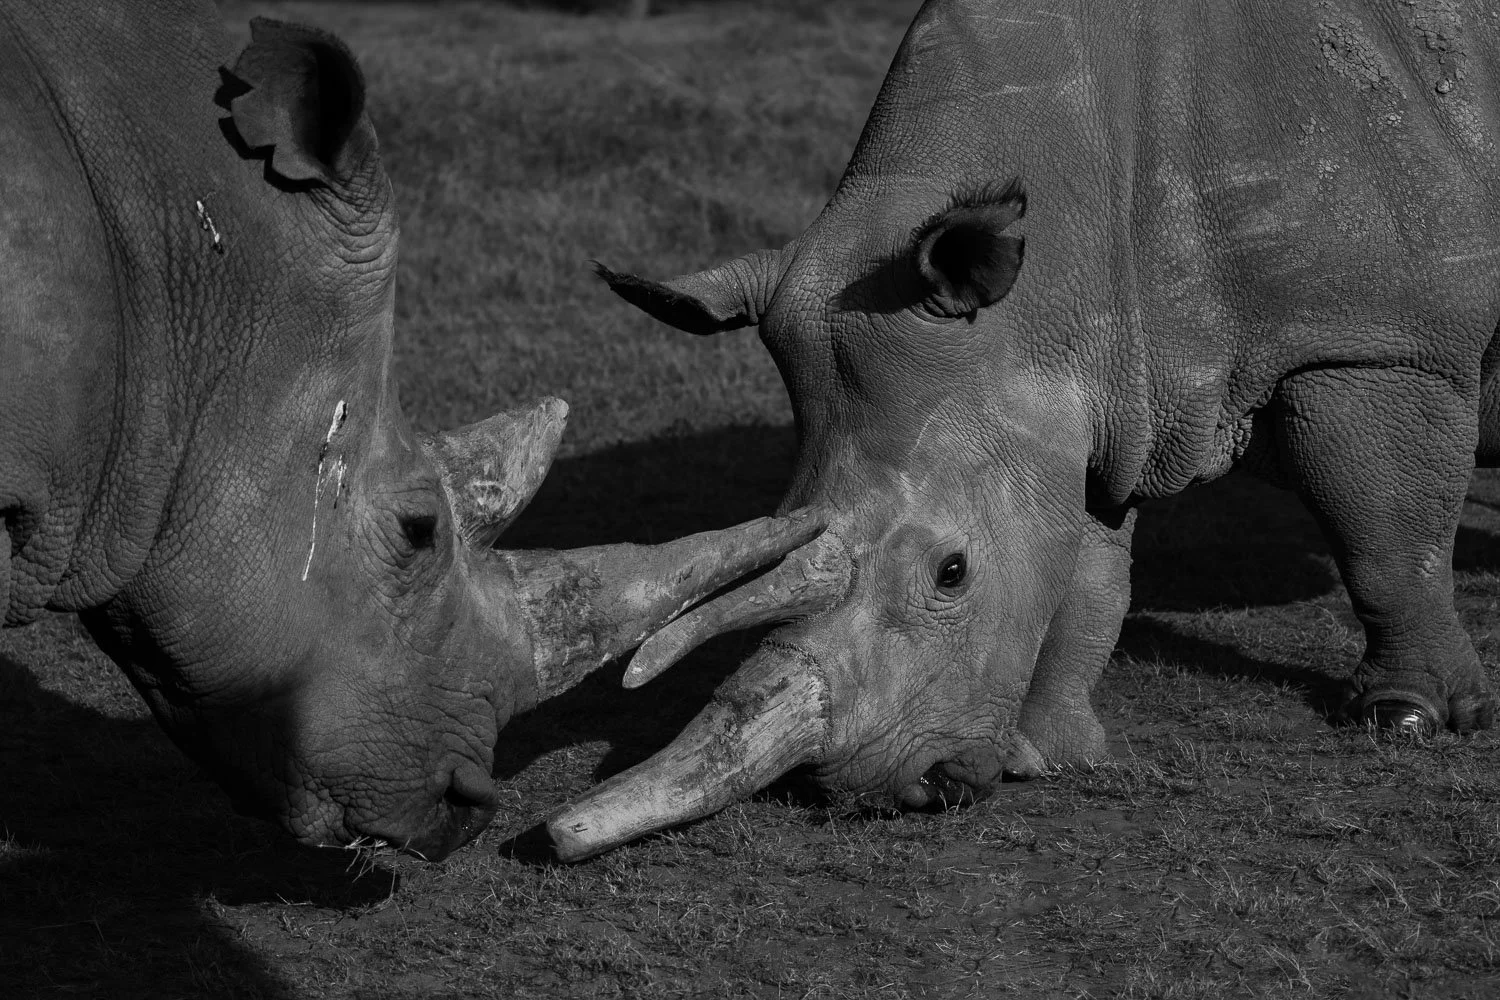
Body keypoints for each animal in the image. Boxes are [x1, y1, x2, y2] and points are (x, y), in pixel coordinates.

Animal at [546, 0, 1500, 859]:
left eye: (951, 572)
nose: (883, 793)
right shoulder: (1098, 392)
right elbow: (1084, 581)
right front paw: (1043, 757)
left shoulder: (1372, 338)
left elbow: (1387, 540)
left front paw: (1406, 721)